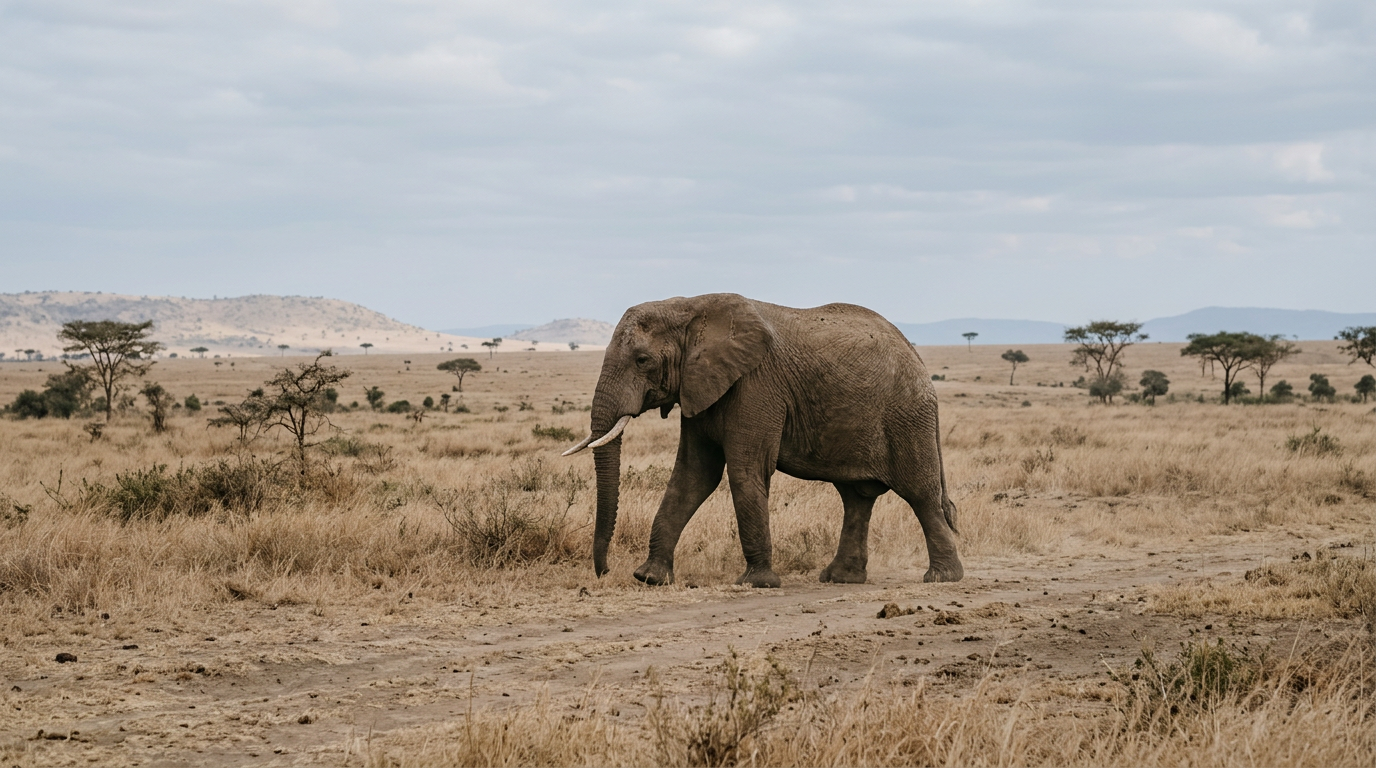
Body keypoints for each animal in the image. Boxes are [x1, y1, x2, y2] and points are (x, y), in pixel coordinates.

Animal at [563, 293, 962, 588]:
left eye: (642, 360)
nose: (604, 572)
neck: (689, 306)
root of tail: (917, 357)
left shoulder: (756, 384)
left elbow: (745, 471)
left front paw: (757, 583)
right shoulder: (700, 387)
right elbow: (693, 476)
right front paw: (650, 578)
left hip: (907, 417)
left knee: (920, 494)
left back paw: (942, 578)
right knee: (856, 498)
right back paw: (840, 579)